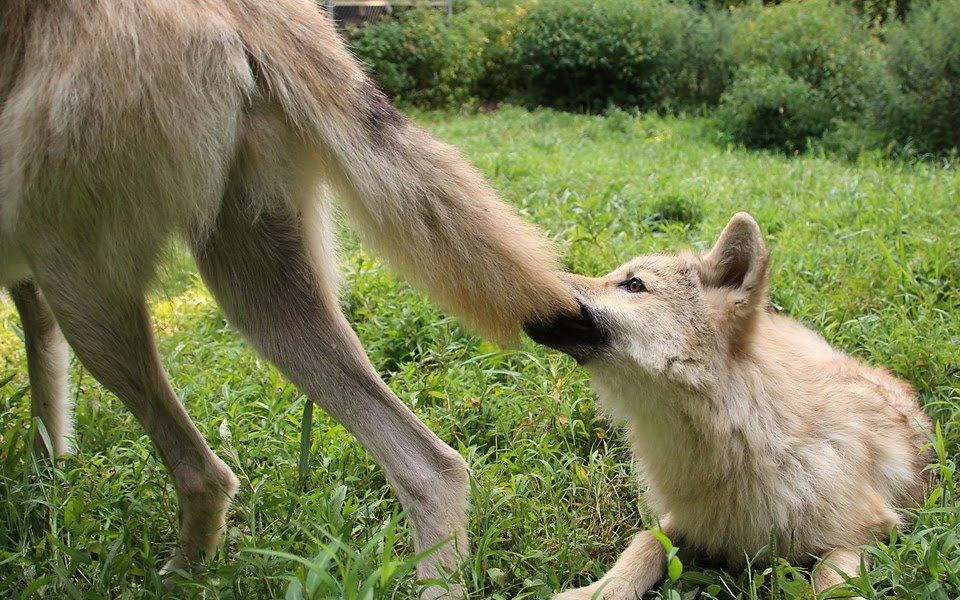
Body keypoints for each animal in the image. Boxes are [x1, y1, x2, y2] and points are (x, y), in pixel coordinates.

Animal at [0, 0, 572, 592]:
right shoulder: (32, 296)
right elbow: (46, 383)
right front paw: (45, 473)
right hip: (256, 286)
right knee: (432, 465)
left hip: (84, 287)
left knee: (206, 474)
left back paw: (174, 578)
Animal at [524, 213, 928, 596]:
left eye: (634, 285)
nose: (533, 277)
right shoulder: (689, 521)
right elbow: (644, 544)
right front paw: (597, 592)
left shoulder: (861, 534)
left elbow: (830, 584)